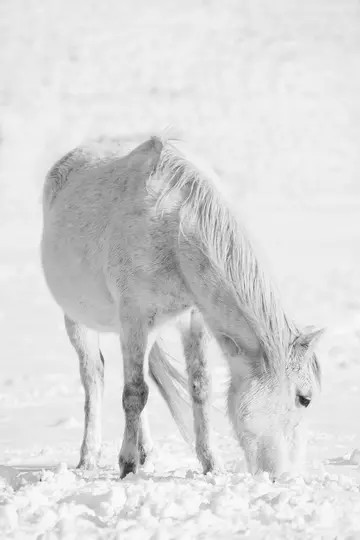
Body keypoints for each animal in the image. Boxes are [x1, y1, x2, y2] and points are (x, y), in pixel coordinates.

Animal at [40, 137, 324, 478]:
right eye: (304, 398)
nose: (286, 474)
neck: (173, 233)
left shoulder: (191, 318)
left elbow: (199, 387)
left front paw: (211, 464)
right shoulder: (134, 317)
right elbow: (134, 393)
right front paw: (127, 466)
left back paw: (146, 451)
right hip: (78, 320)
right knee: (94, 377)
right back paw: (89, 457)